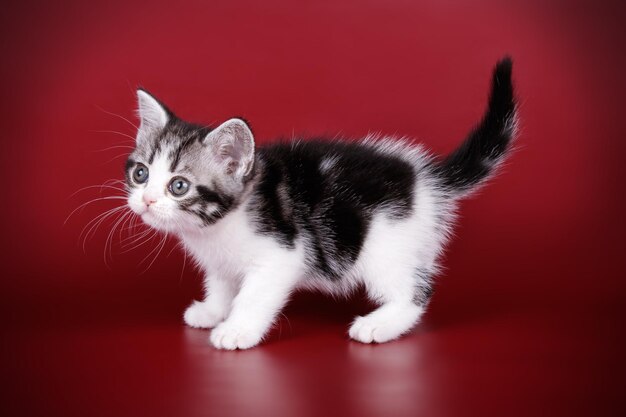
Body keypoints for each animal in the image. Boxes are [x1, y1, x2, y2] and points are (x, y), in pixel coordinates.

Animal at [124, 56, 516, 348]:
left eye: (178, 186)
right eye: (140, 173)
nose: (146, 200)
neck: (217, 224)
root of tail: (424, 179)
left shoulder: (282, 254)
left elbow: (253, 296)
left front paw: (237, 330)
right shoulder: (221, 261)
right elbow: (221, 283)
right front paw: (212, 311)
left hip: (385, 244)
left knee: (416, 290)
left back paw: (379, 325)